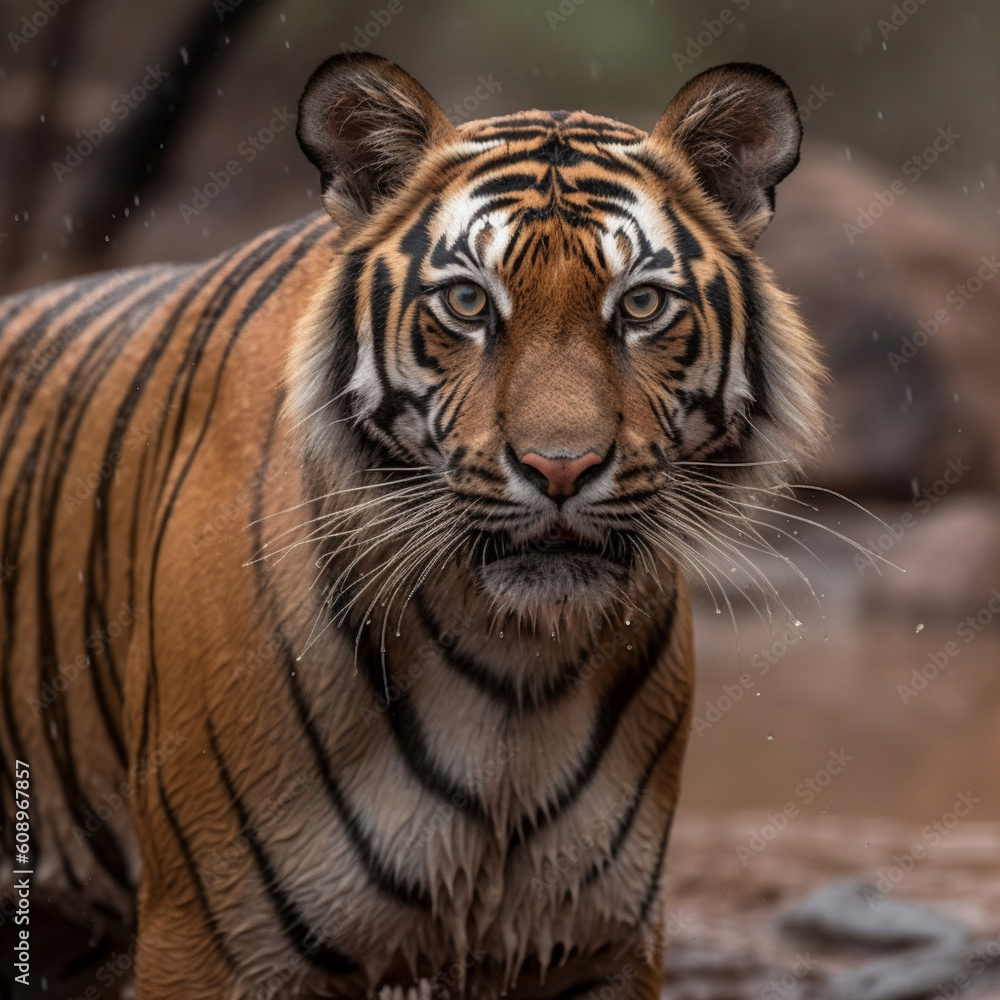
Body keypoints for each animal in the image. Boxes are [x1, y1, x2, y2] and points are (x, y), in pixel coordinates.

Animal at [0, 53, 824, 999]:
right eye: (467, 301)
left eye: (643, 305)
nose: (561, 469)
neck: (513, 664)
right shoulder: (210, 941)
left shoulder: (598, 942)